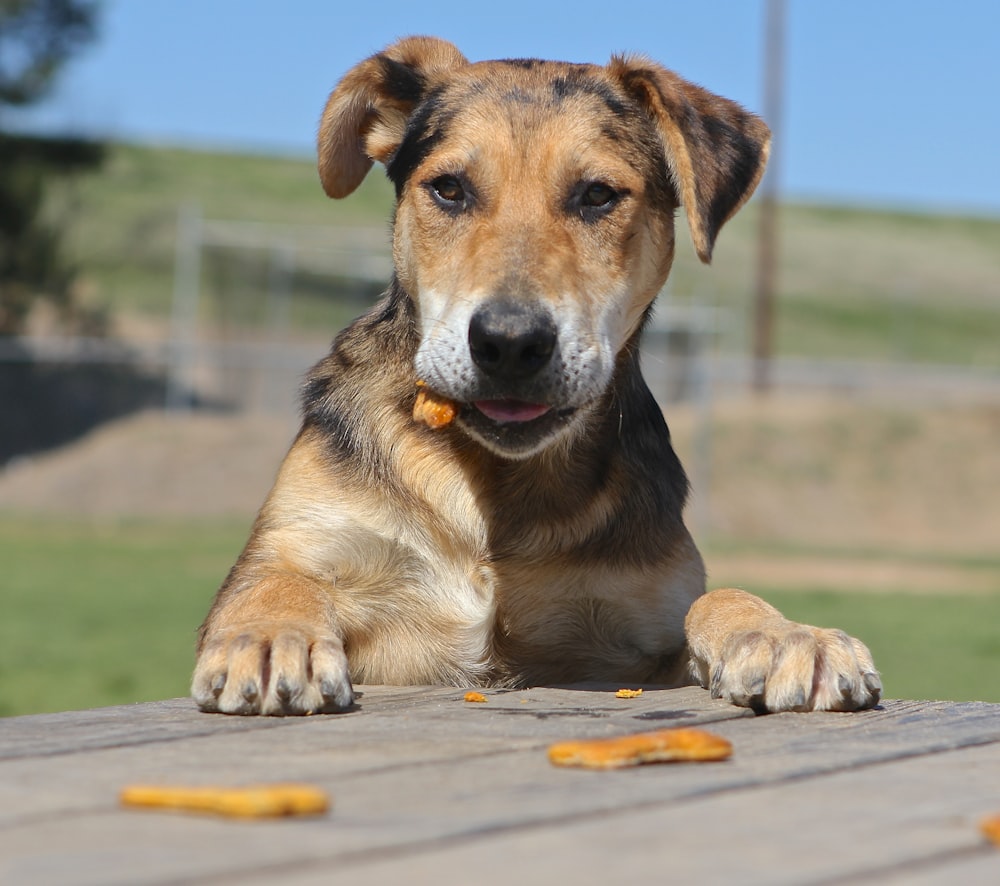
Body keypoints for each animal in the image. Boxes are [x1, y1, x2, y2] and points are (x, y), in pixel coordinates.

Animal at [191, 34, 880, 720]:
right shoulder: (301, 542)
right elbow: (275, 583)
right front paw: (273, 636)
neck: (495, 485)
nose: (509, 343)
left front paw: (787, 635)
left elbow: (713, 597)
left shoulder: (637, 629)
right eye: (448, 189)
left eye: (597, 195)